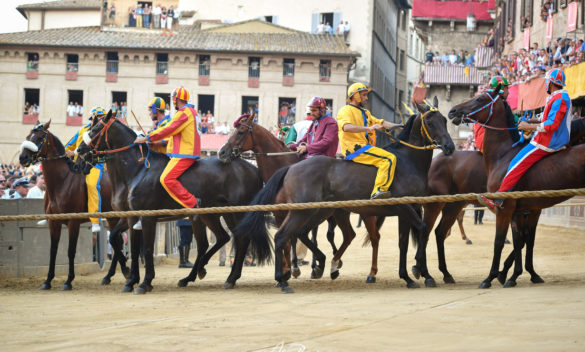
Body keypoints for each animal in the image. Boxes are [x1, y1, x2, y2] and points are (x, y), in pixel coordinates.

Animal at [18, 121, 129, 292]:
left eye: (40, 138)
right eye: (28, 136)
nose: (23, 157)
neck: (62, 181)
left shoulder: (73, 222)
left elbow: (71, 251)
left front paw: (68, 281)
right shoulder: (53, 222)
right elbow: (53, 250)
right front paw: (47, 280)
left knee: (117, 242)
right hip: (112, 217)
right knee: (117, 242)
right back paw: (109, 276)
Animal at [76, 111, 264, 292]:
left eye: (95, 129)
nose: (79, 151)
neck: (139, 170)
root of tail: (253, 168)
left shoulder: (147, 218)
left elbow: (146, 248)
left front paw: (144, 282)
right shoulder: (131, 217)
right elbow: (125, 243)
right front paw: (131, 279)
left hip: (234, 213)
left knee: (238, 240)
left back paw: (225, 277)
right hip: (217, 215)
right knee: (227, 238)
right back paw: (202, 275)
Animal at [217, 114, 340, 280]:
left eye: (241, 131)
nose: (221, 152)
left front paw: (290, 269)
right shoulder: (279, 212)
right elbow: (289, 238)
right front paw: (289, 268)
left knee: (329, 234)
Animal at [230, 97, 454, 292]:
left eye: (444, 120)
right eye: (430, 122)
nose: (450, 146)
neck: (407, 160)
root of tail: (292, 168)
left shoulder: (409, 209)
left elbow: (406, 241)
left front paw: (412, 275)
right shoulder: (404, 207)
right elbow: (421, 231)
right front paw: (421, 273)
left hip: (320, 212)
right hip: (304, 213)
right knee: (283, 236)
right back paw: (285, 279)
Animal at [448, 86, 584, 288]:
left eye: (480, 99)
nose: (453, 111)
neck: (504, 154)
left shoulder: (506, 209)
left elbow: (500, 242)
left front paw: (492, 277)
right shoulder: (526, 210)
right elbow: (523, 240)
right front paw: (518, 274)